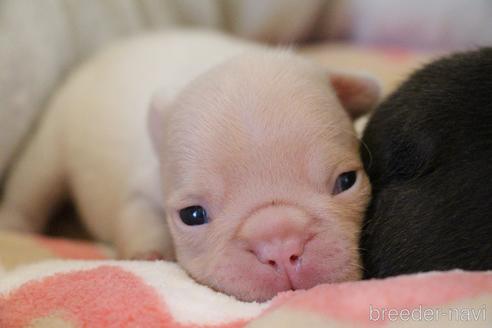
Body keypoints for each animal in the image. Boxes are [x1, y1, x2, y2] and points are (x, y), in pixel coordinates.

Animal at [0, 30, 380, 302]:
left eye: (346, 181)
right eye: (192, 215)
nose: (281, 244)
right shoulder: (144, 188)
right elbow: (138, 216)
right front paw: (150, 253)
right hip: (53, 141)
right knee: (33, 185)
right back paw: (14, 228)